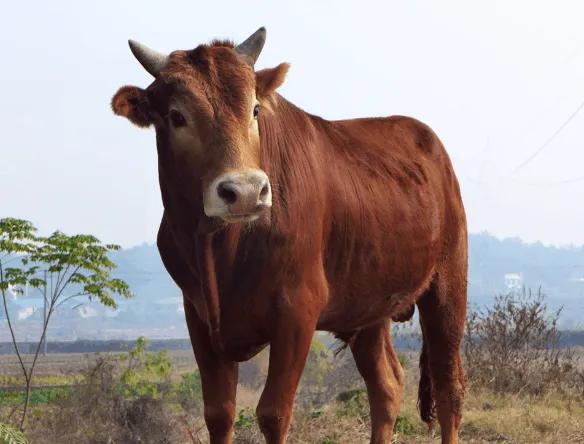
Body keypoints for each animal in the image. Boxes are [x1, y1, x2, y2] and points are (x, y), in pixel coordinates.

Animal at [112, 28, 468, 444]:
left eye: (254, 110)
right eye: (176, 116)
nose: (245, 191)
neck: (222, 247)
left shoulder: (297, 310)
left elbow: (274, 414)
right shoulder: (198, 315)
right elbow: (219, 414)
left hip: (447, 286)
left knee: (448, 388)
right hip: (368, 308)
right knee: (387, 386)